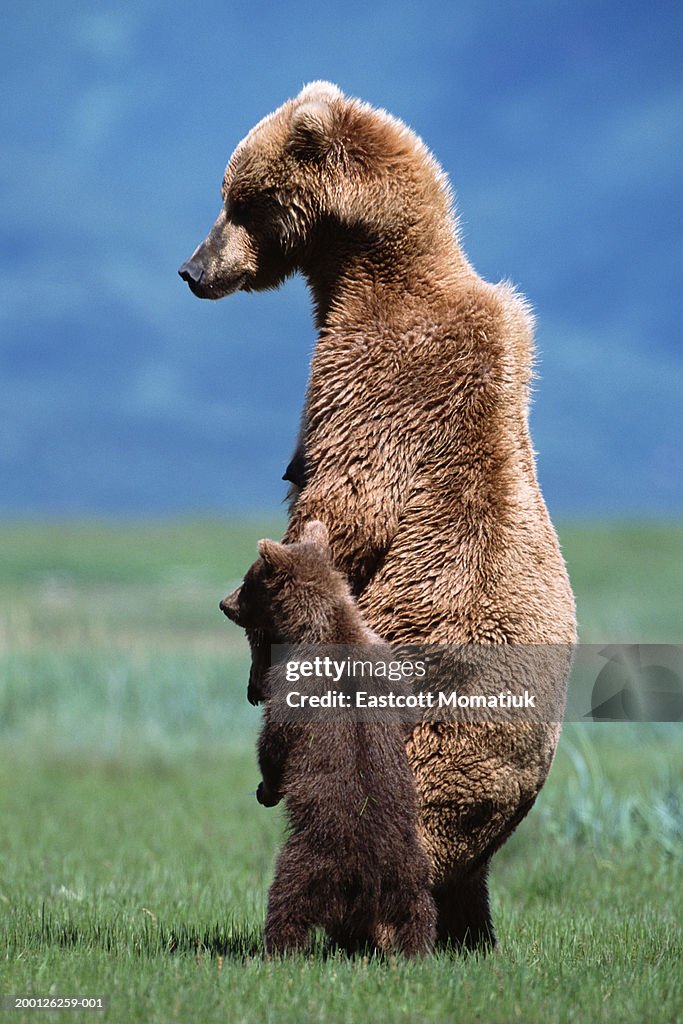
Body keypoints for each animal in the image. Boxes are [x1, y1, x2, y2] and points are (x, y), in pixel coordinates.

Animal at [180, 81, 577, 950]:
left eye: (239, 200)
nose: (192, 270)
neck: (363, 272)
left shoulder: (379, 378)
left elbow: (342, 505)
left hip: (417, 746)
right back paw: (471, 931)